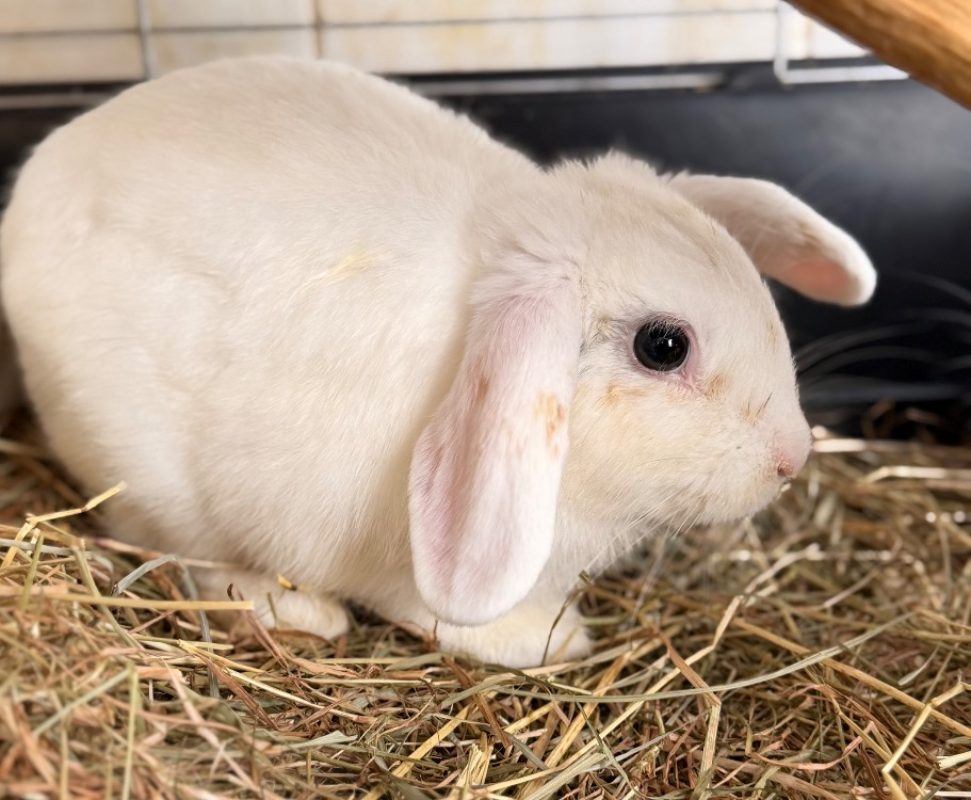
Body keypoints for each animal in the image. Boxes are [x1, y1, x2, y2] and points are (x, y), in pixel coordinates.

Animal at [0, 56, 876, 666]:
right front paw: (546, 639)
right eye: (663, 346)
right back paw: (297, 613)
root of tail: (33, 187)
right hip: (146, 474)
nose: (790, 458)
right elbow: (426, 607)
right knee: (177, 554)